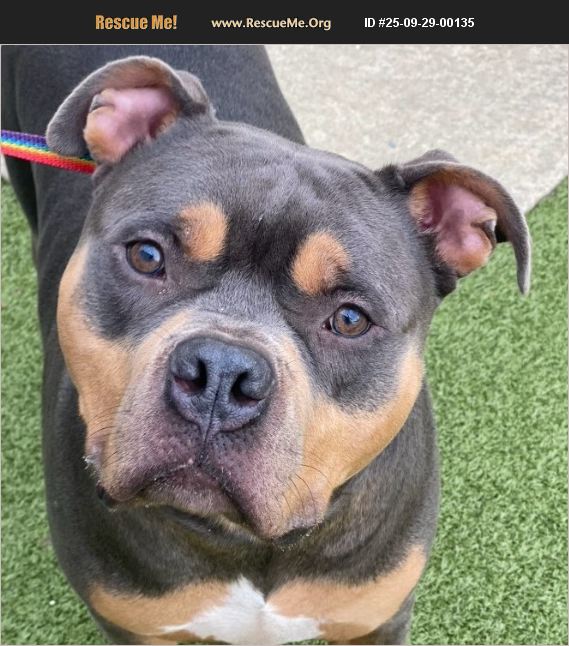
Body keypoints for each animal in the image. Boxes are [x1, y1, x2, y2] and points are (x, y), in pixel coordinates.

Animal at [2, 45, 530, 645]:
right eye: (147, 256)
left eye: (350, 319)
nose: (221, 374)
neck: (248, 545)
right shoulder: (132, 627)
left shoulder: (376, 620)